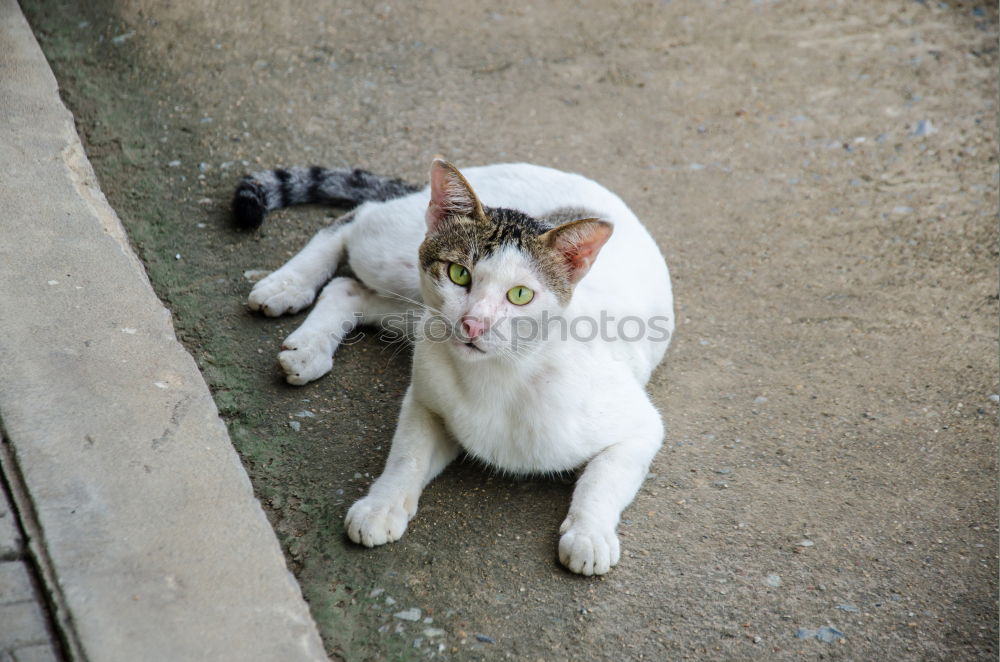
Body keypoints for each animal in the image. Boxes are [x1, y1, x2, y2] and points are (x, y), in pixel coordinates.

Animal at [233, 161, 672, 576]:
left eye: (520, 295)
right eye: (459, 273)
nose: (473, 324)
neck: (502, 373)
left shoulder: (640, 427)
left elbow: (603, 480)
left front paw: (590, 533)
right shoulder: (426, 400)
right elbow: (407, 454)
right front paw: (382, 504)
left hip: (415, 309)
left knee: (348, 288)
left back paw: (309, 345)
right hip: (401, 267)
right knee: (358, 219)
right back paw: (289, 285)